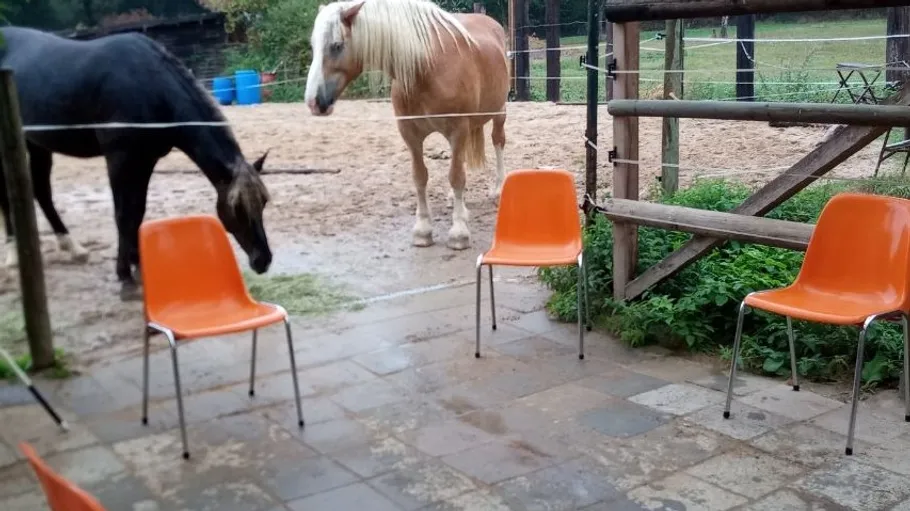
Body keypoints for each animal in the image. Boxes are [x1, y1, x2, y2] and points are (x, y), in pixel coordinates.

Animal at [0, 26, 273, 300]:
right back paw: (13, 255)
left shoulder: (144, 161)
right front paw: (125, 277)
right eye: (237, 207)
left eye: (264, 202)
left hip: (37, 144)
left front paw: (138, 266)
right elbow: (123, 214)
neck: (149, 86)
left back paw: (72, 247)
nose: (263, 260)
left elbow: (137, 212)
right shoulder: (119, 159)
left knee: (42, 191)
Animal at [304, 0, 510, 250]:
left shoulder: (458, 129)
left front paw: (459, 232)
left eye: (336, 46)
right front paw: (423, 230)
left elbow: (456, 176)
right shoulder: (410, 134)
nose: (314, 102)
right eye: (314, 46)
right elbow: (420, 177)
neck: (428, 66)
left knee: (497, 142)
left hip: (498, 112)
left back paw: (498, 189)